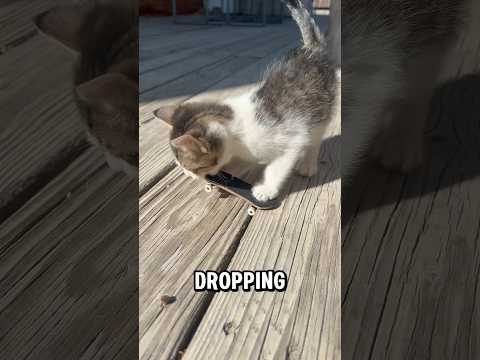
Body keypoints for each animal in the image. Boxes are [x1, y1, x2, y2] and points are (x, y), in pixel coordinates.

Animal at [154, 0, 338, 201]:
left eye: (193, 167)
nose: (188, 175)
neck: (236, 134)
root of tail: (312, 50)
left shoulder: (291, 139)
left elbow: (277, 167)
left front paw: (266, 190)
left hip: (320, 112)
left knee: (315, 139)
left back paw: (308, 165)